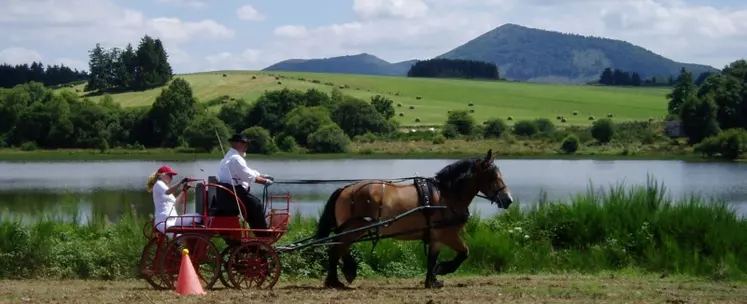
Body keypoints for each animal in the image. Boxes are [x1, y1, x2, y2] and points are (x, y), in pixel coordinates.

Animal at [312, 150, 516, 290]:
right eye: (493, 176)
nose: (508, 200)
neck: (447, 195)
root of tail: (345, 189)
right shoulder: (448, 234)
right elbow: (464, 252)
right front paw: (443, 269)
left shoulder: (436, 237)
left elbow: (432, 259)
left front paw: (432, 280)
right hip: (355, 228)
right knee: (336, 249)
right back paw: (335, 280)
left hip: (352, 229)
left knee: (340, 248)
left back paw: (346, 272)